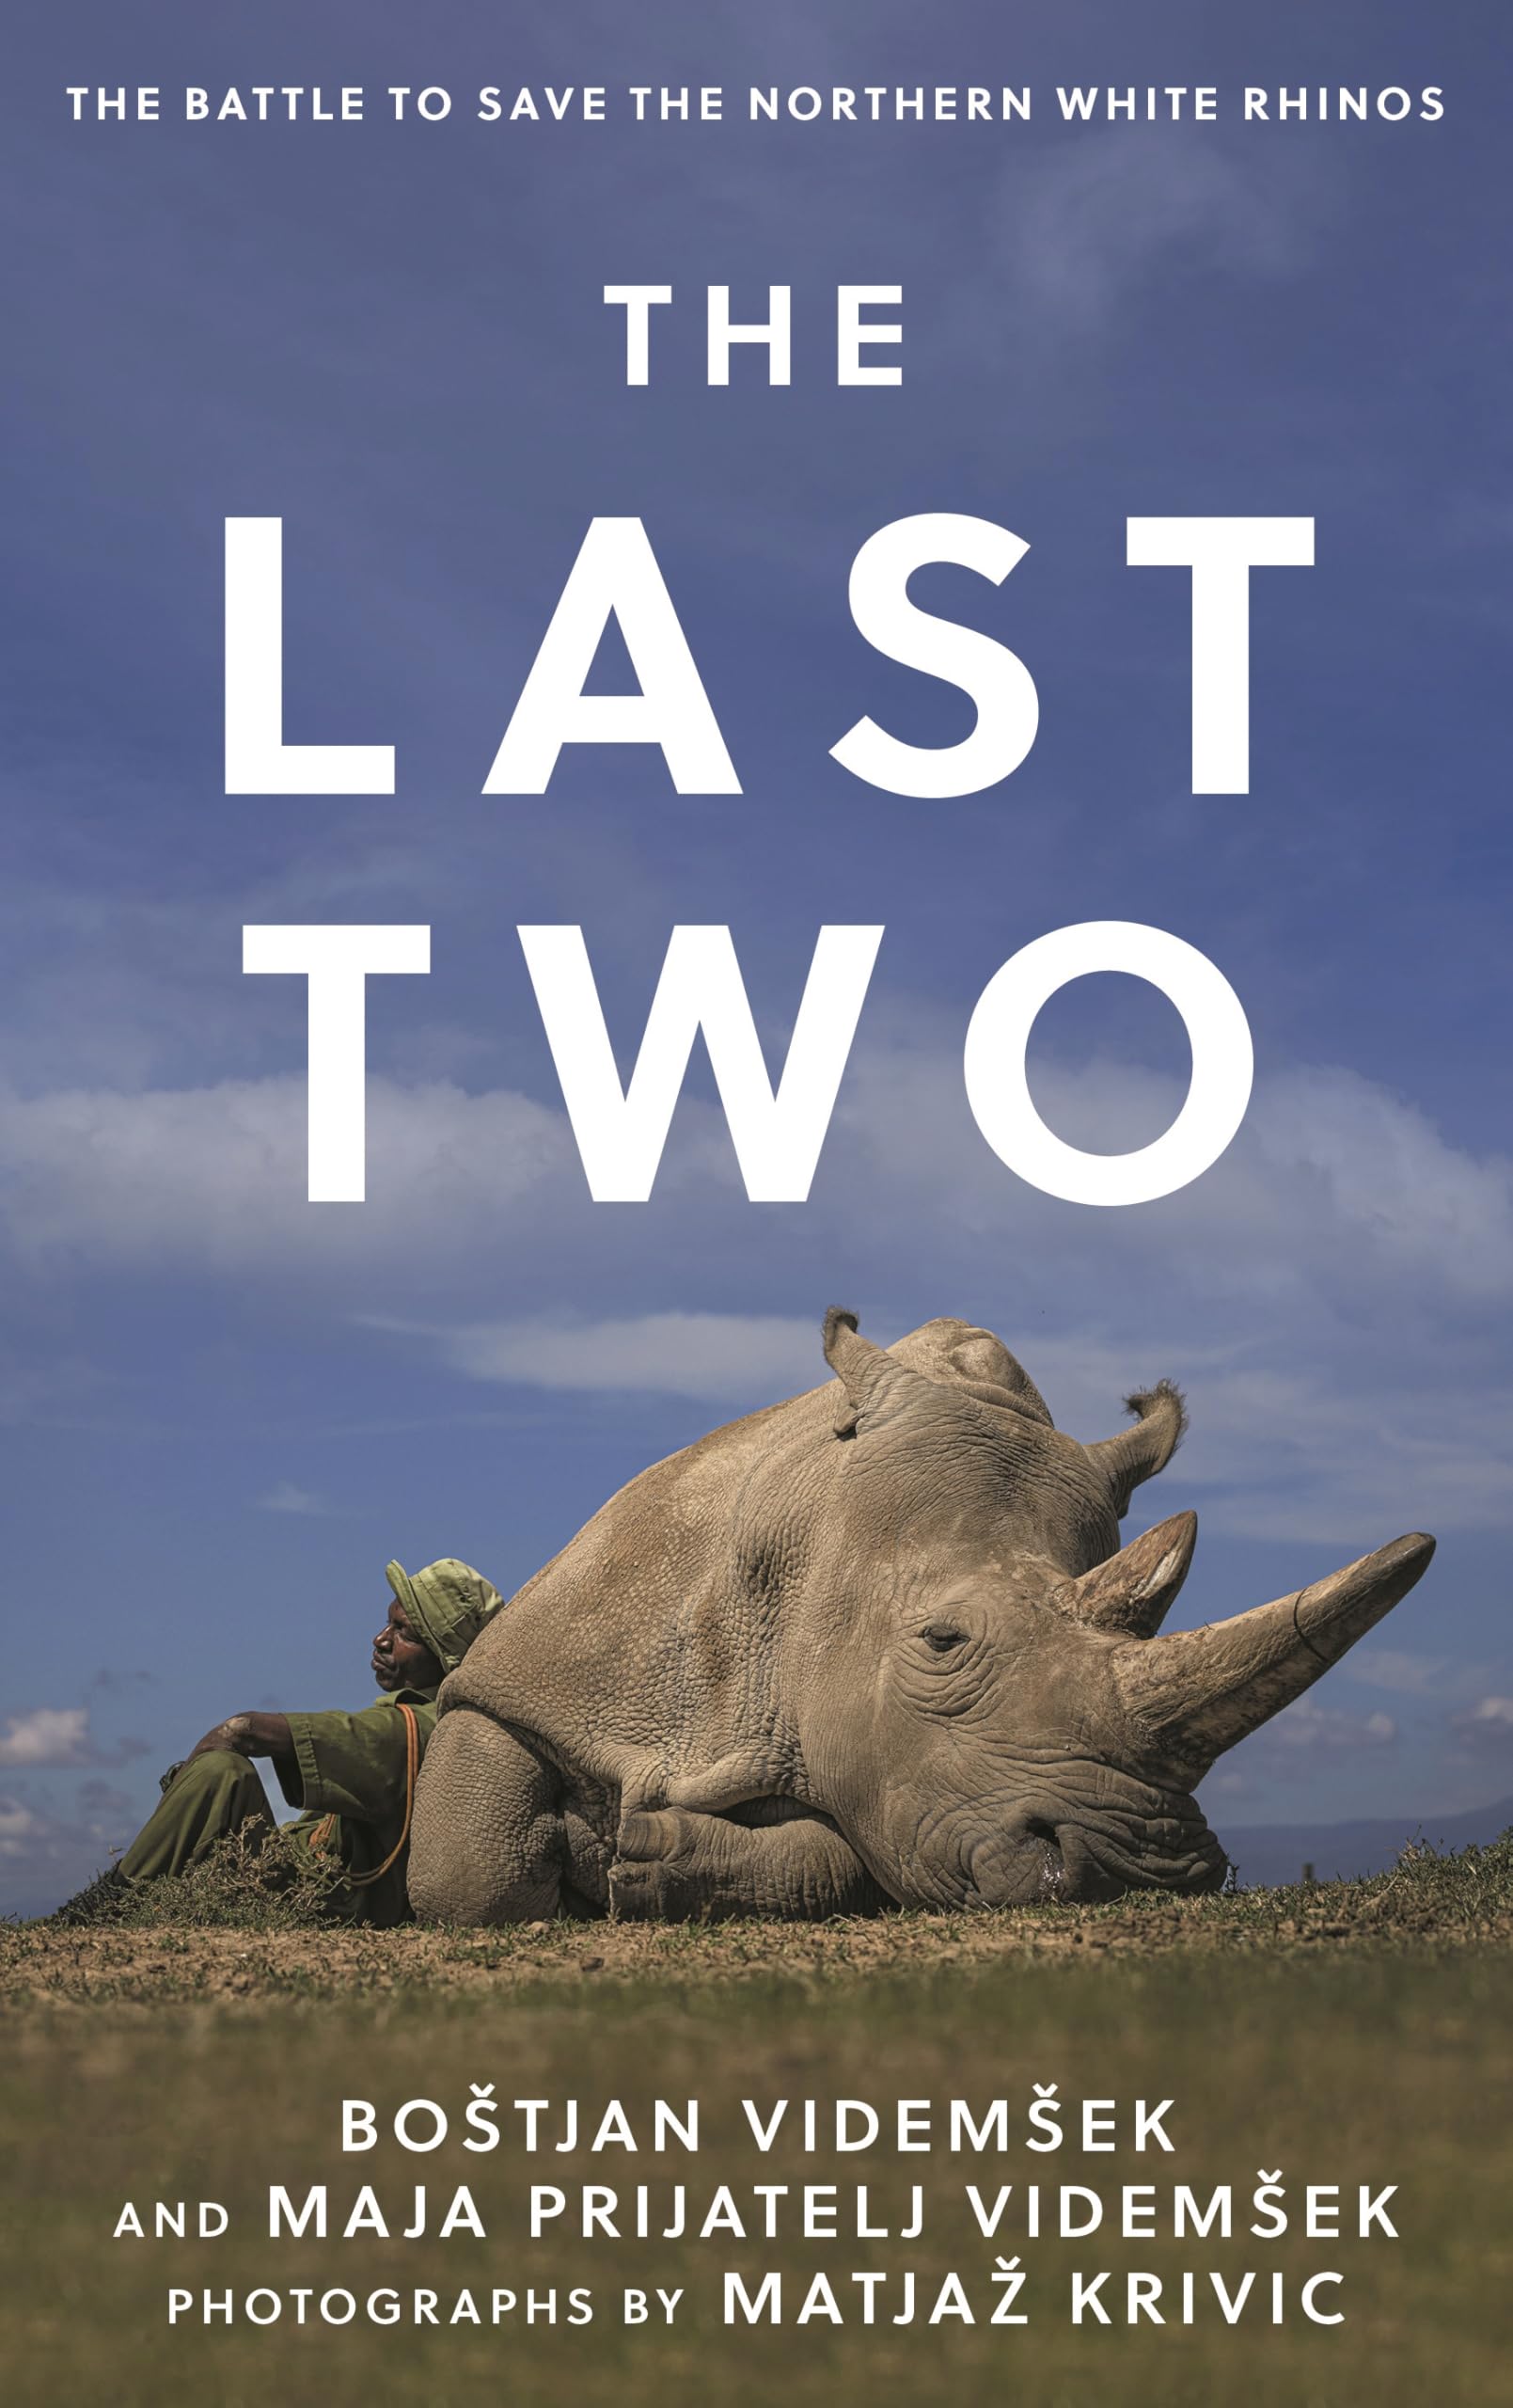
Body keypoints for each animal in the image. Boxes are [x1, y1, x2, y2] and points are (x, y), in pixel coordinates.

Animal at [407, 1311, 1434, 1922]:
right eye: (942, 1642)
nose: (1138, 1867)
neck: (803, 1548)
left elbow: (843, 1853)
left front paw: (635, 1859)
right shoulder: (534, 1673)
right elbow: (469, 1870)